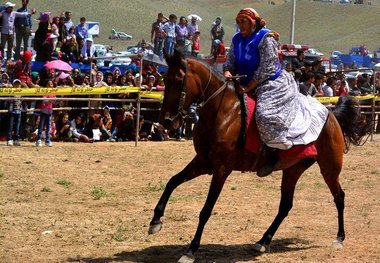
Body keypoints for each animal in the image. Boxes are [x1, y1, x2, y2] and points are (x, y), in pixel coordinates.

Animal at [148, 49, 368, 263]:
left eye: (178, 79)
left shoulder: (221, 170)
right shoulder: (203, 163)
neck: (223, 111)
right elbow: (172, 181)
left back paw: (339, 238)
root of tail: (331, 114)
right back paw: (264, 240)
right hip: (293, 170)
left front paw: (191, 250)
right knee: (285, 206)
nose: (165, 121)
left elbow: (206, 210)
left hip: (329, 168)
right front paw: (156, 221)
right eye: (165, 79)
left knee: (339, 197)